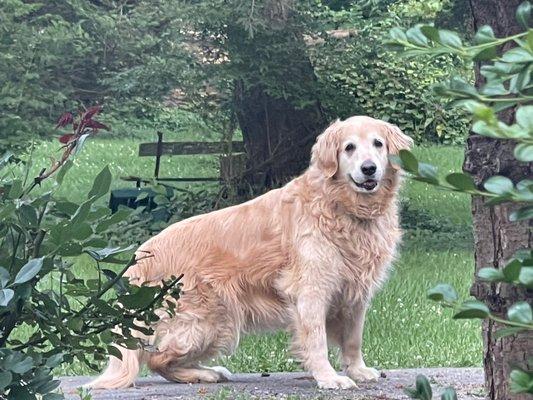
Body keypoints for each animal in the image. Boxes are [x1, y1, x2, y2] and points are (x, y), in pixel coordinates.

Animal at [87, 115, 412, 390]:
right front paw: (328, 377)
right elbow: (316, 340)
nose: (368, 168)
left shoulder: (356, 292)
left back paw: (206, 372)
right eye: (349, 148)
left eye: (378, 144)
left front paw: (358, 370)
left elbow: (353, 339)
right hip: (211, 319)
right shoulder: (311, 289)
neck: (343, 208)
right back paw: (205, 373)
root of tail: (141, 255)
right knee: (157, 358)